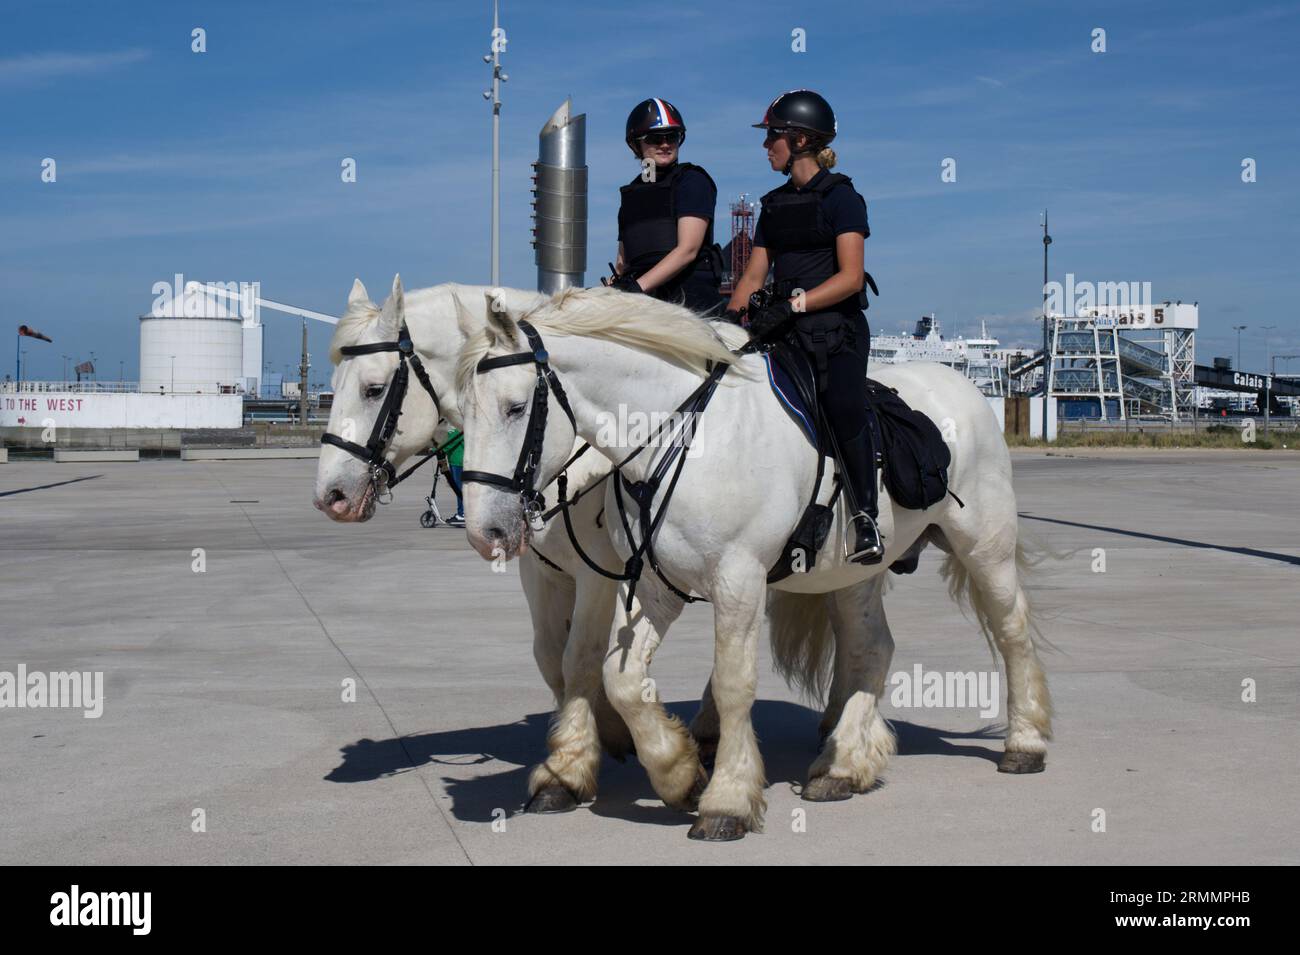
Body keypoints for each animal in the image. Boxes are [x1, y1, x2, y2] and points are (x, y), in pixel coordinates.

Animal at [457, 287, 1055, 841]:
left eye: (515, 408)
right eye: (462, 410)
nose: (486, 532)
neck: (684, 436)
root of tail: (963, 386)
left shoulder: (736, 580)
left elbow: (732, 683)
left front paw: (726, 799)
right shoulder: (654, 586)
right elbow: (619, 678)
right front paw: (678, 774)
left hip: (985, 545)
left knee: (1011, 629)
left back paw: (1024, 742)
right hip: (854, 572)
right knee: (872, 649)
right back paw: (842, 765)